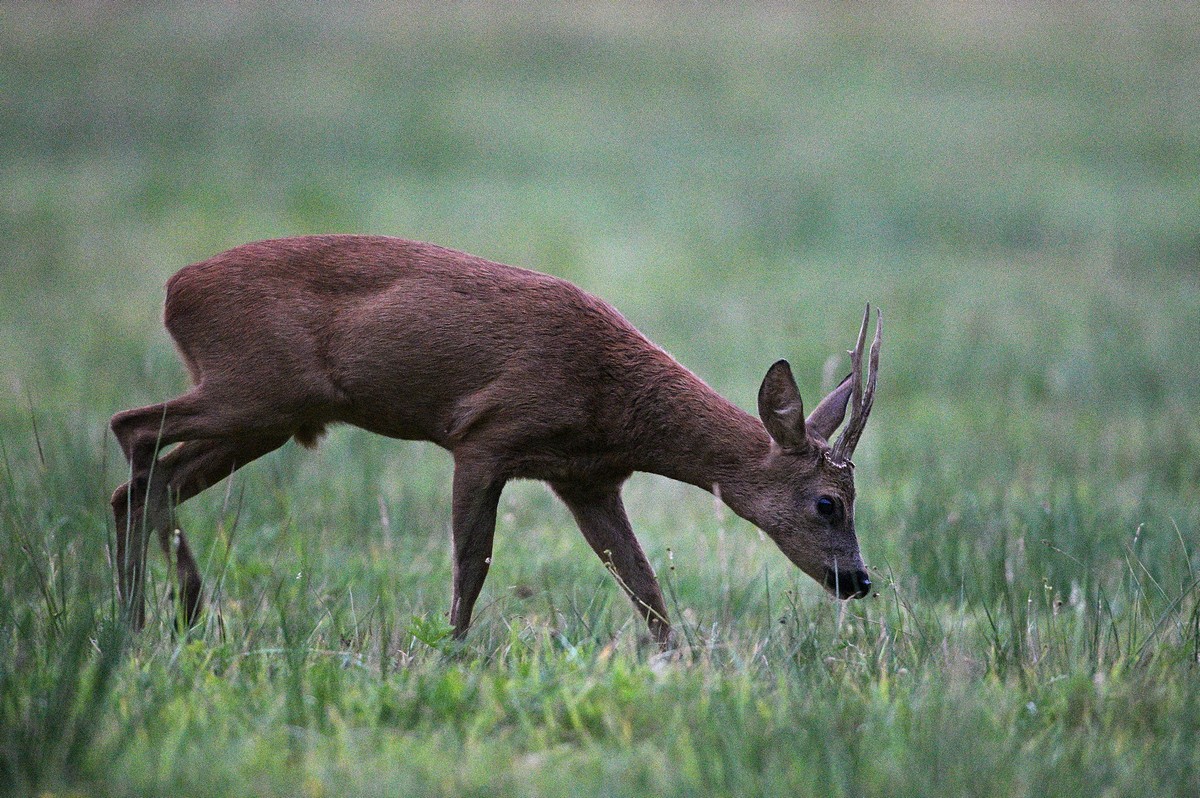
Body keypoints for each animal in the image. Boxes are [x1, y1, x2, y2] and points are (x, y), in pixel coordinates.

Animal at [110, 234, 883, 643]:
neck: (612, 401)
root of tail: (175, 291)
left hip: (265, 416)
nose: (857, 580)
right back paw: (157, 608)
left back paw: (159, 614)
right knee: (132, 430)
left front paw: (681, 664)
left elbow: (644, 586)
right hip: (252, 388)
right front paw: (447, 653)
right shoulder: (485, 435)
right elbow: (471, 566)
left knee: (144, 481)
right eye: (827, 503)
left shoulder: (585, 478)